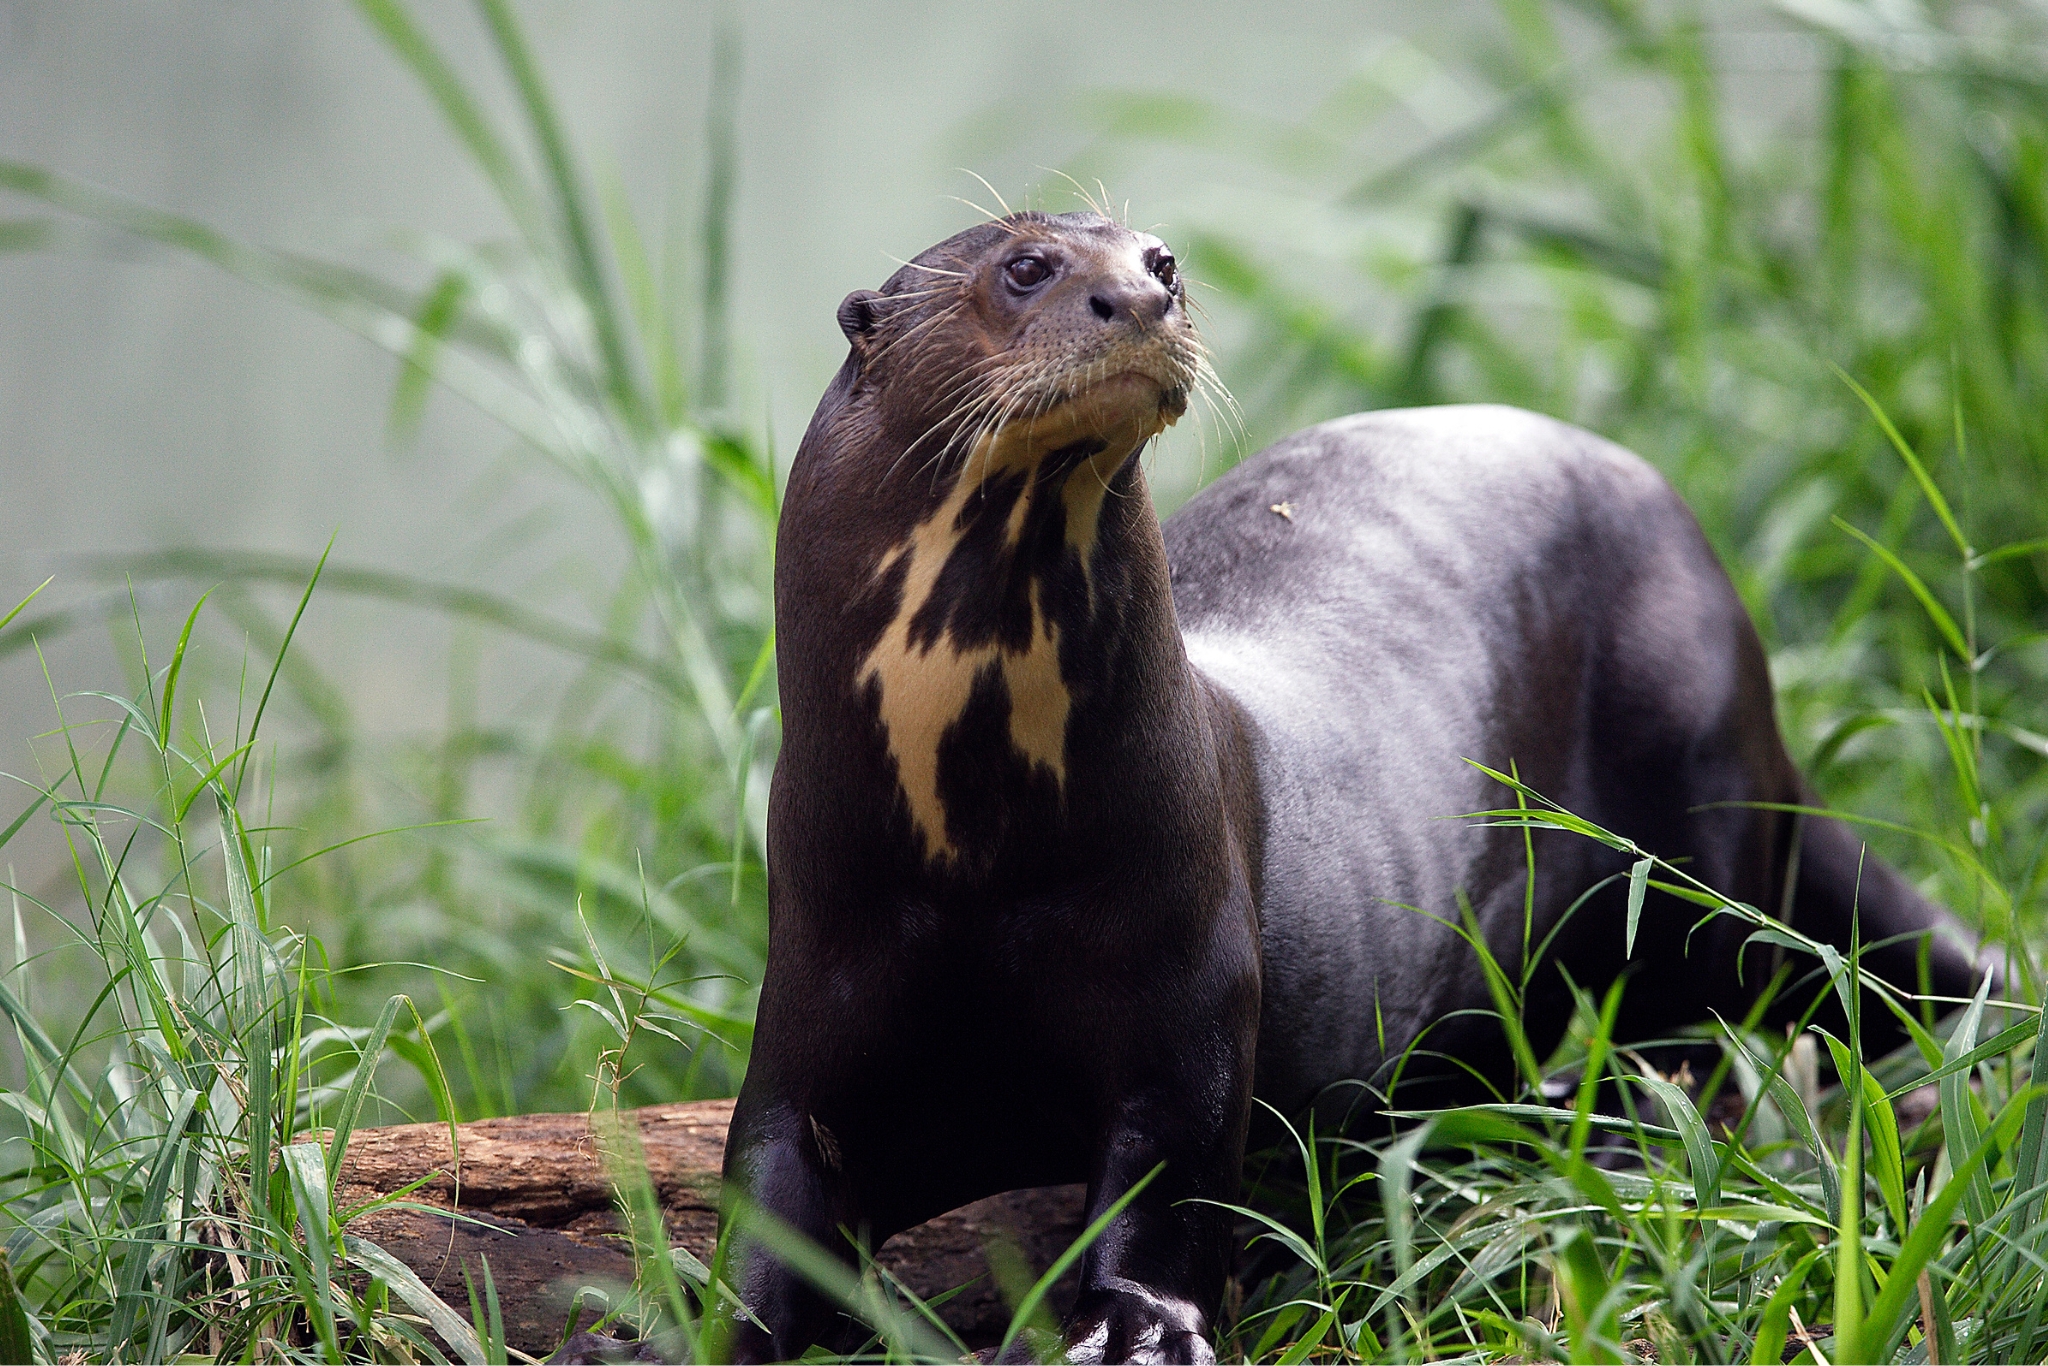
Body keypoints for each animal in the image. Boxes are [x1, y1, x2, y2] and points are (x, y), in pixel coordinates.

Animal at [719, 210, 1980, 1363]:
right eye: (1026, 267)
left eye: (1159, 255)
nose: (1143, 294)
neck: (970, 855)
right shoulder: (814, 977)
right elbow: (761, 1194)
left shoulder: (1187, 980)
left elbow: (1170, 1178)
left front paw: (1131, 1331)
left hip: (1691, 768)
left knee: (1700, 1012)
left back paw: (1617, 1135)